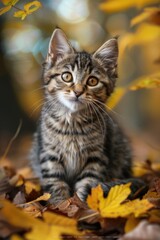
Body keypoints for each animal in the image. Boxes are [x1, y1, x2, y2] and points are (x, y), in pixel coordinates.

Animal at [30, 28, 132, 204]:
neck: (72, 123)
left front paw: (81, 206)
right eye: (66, 76)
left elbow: (87, 185)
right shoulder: (49, 155)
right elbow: (56, 184)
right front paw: (59, 206)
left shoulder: (96, 157)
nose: (77, 92)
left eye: (92, 81)